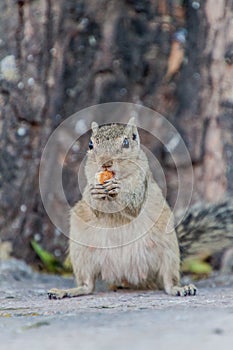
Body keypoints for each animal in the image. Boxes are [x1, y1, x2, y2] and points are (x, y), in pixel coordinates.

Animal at [47, 117, 231, 298]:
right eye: (91, 144)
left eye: (126, 142)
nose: (106, 163)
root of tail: (128, 277)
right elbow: (95, 209)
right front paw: (95, 193)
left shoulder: (142, 184)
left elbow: (134, 204)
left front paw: (119, 189)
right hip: (81, 251)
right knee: (88, 285)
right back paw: (66, 291)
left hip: (169, 251)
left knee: (168, 281)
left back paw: (181, 288)